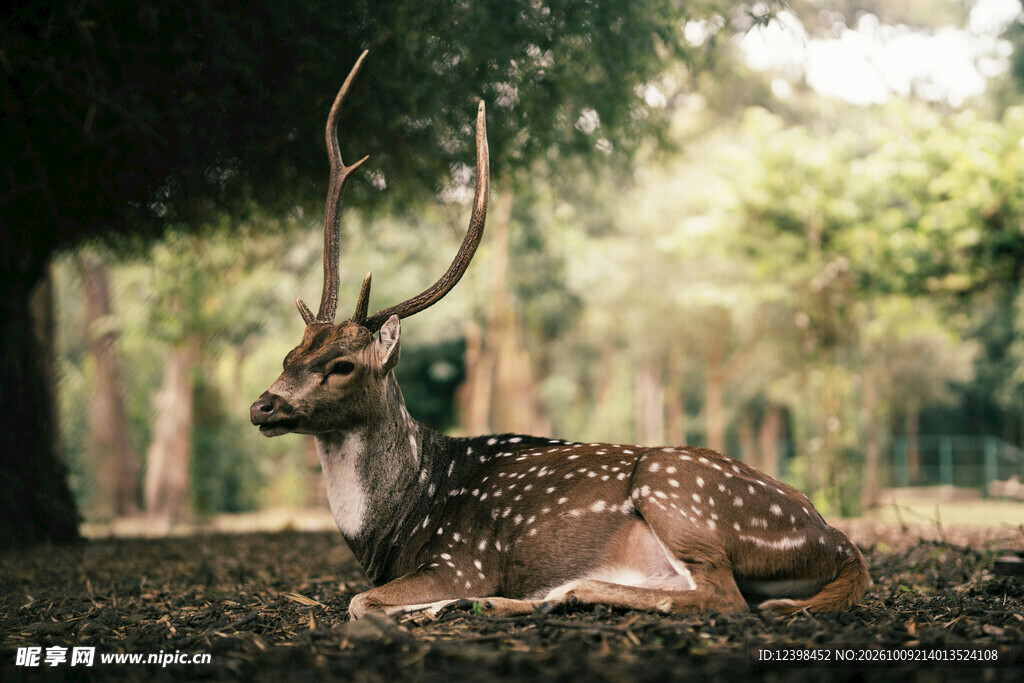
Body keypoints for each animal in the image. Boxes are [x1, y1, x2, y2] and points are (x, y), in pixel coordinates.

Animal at [250, 52, 872, 620]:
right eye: (289, 354)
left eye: (343, 364)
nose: (263, 406)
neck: (401, 523)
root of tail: (841, 544)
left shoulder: (462, 558)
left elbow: (359, 602)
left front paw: (431, 604)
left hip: (676, 489)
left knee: (724, 597)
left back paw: (539, 595)